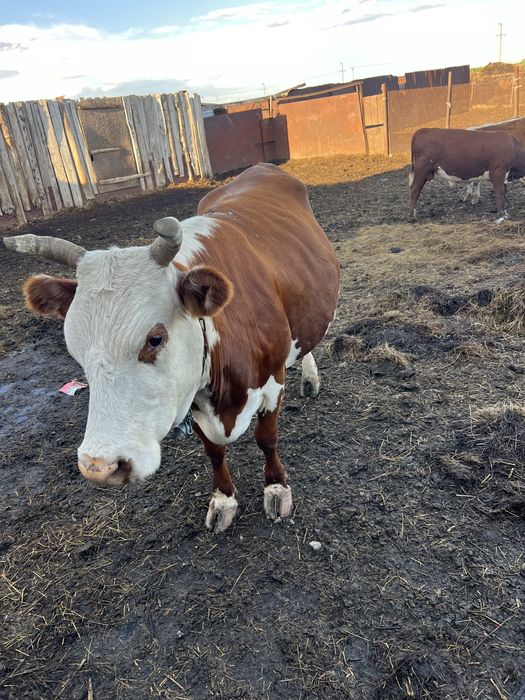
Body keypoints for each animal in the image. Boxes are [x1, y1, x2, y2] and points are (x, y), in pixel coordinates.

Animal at [3, 163, 340, 533]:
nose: (99, 467)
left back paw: (309, 377)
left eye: (155, 339)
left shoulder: (271, 382)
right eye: (75, 349)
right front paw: (223, 500)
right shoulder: (191, 398)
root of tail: (260, 168)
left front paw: (276, 489)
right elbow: (214, 452)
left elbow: (267, 439)